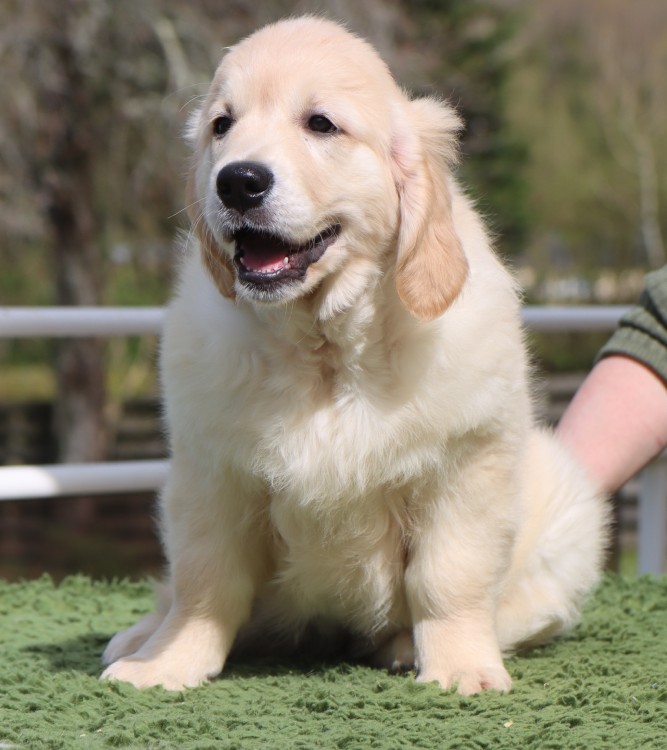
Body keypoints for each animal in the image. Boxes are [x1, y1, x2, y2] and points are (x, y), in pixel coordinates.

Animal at [101, 16, 608, 695]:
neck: (326, 350)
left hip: (565, 506)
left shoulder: (467, 466)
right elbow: (204, 585)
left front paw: (460, 667)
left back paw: (403, 646)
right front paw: (166, 663)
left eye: (321, 124)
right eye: (221, 125)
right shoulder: (211, 475)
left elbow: (449, 578)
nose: (236, 180)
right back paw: (138, 636)